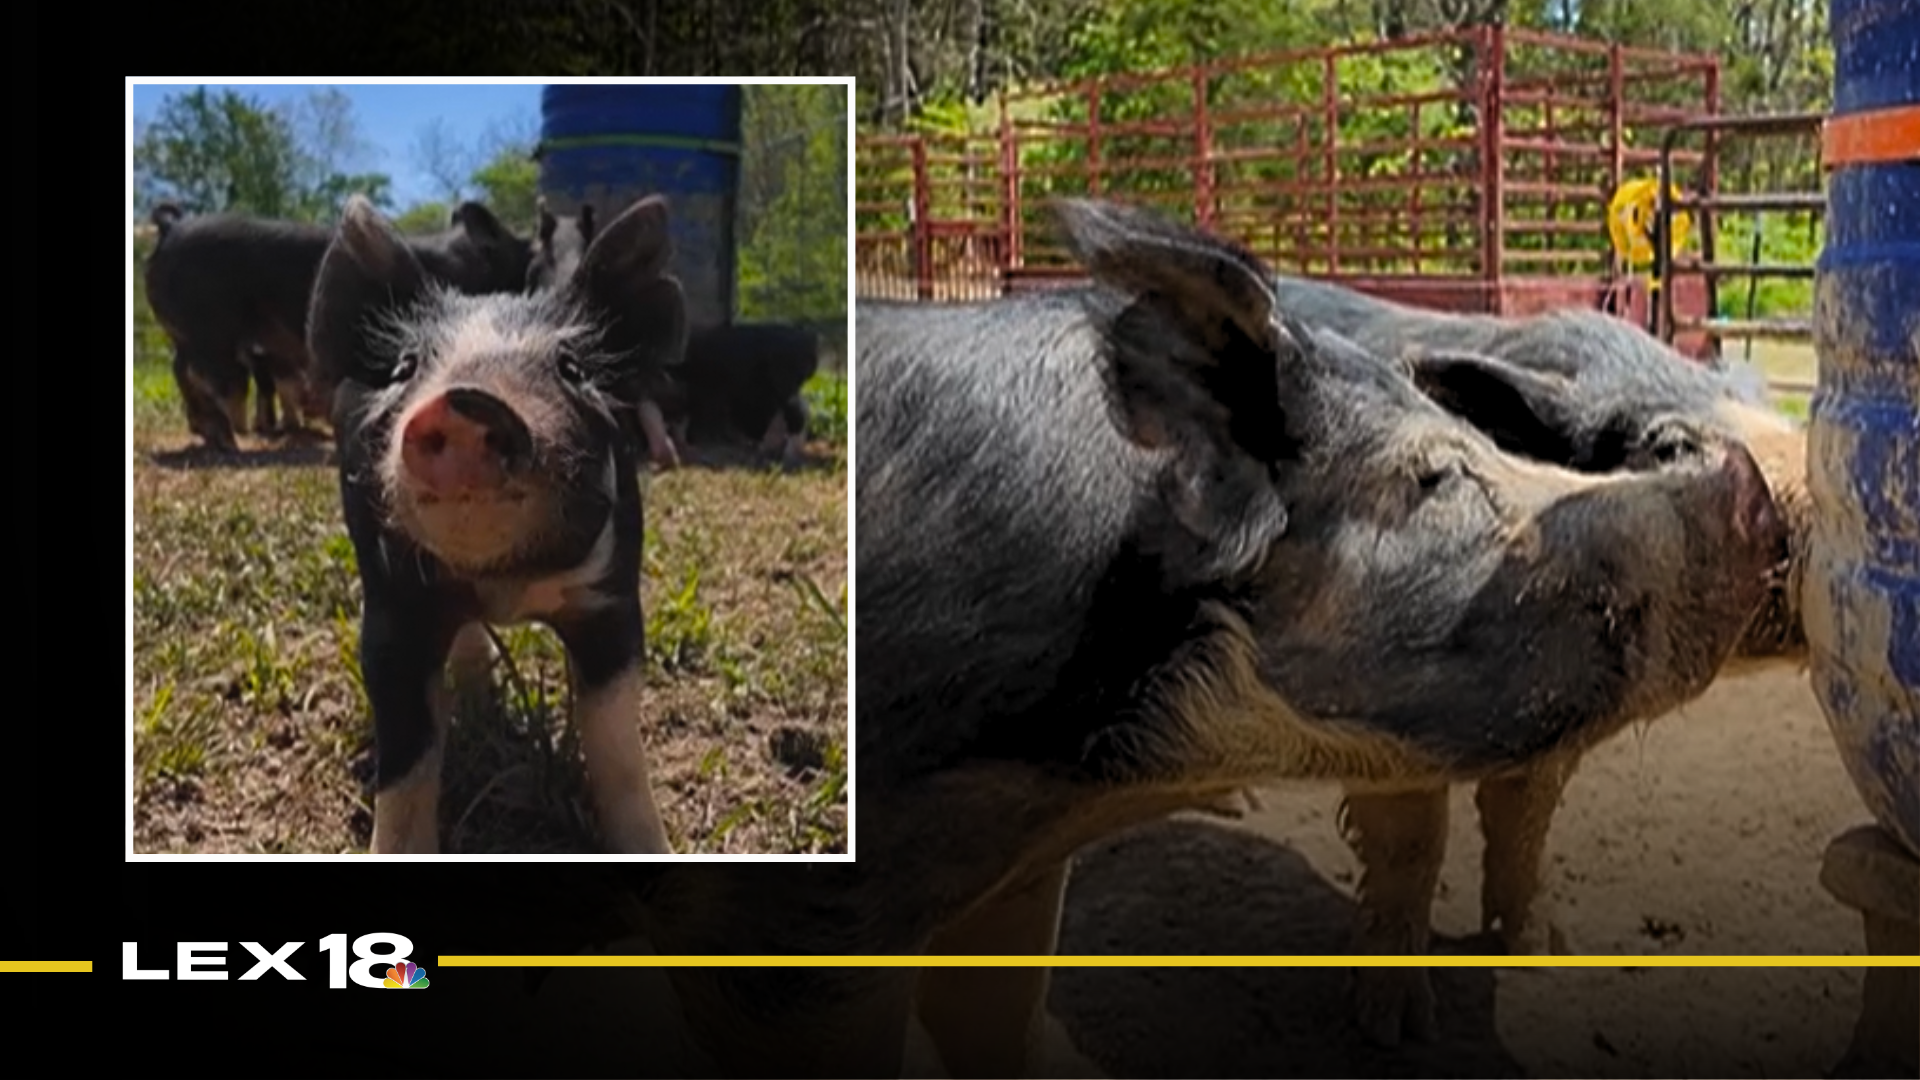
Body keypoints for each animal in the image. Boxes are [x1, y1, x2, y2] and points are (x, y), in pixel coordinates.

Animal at [143, 199, 534, 453]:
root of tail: (171, 227)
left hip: (187, 334)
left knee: (182, 369)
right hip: (210, 332)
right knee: (209, 376)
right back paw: (231, 440)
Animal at [306, 194, 686, 855]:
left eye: (571, 367)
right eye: (406, 368)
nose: (466, 400)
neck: (505, 581)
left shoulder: (612, 595)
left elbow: (615, 740)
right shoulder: (393, 603)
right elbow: (405, 762)